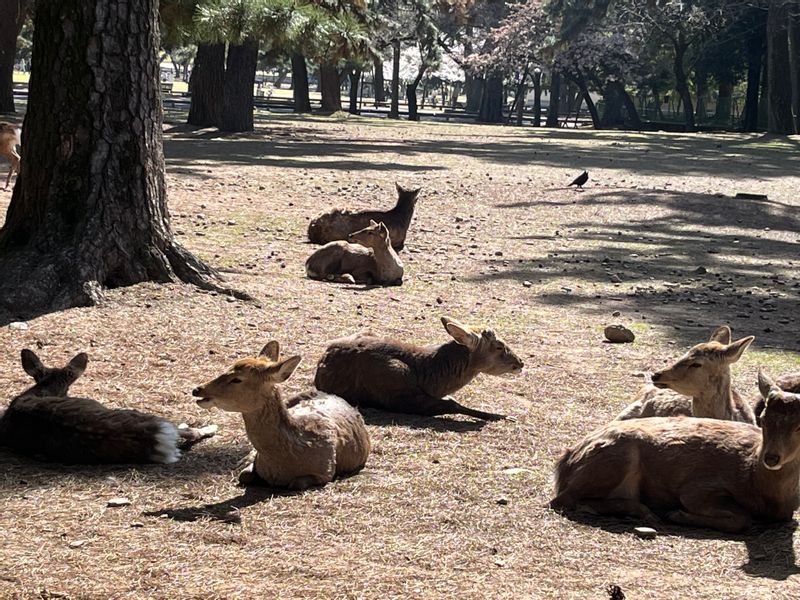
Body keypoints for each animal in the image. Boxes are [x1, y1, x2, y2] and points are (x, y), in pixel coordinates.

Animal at [552, 370, 800, 536]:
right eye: (763, 418)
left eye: (798, 425)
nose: (771, 457)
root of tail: (564, 463)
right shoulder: (698, 488)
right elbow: (742, 518)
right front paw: (678, 514)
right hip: (618, 458)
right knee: (566, 499)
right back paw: (648, 511)